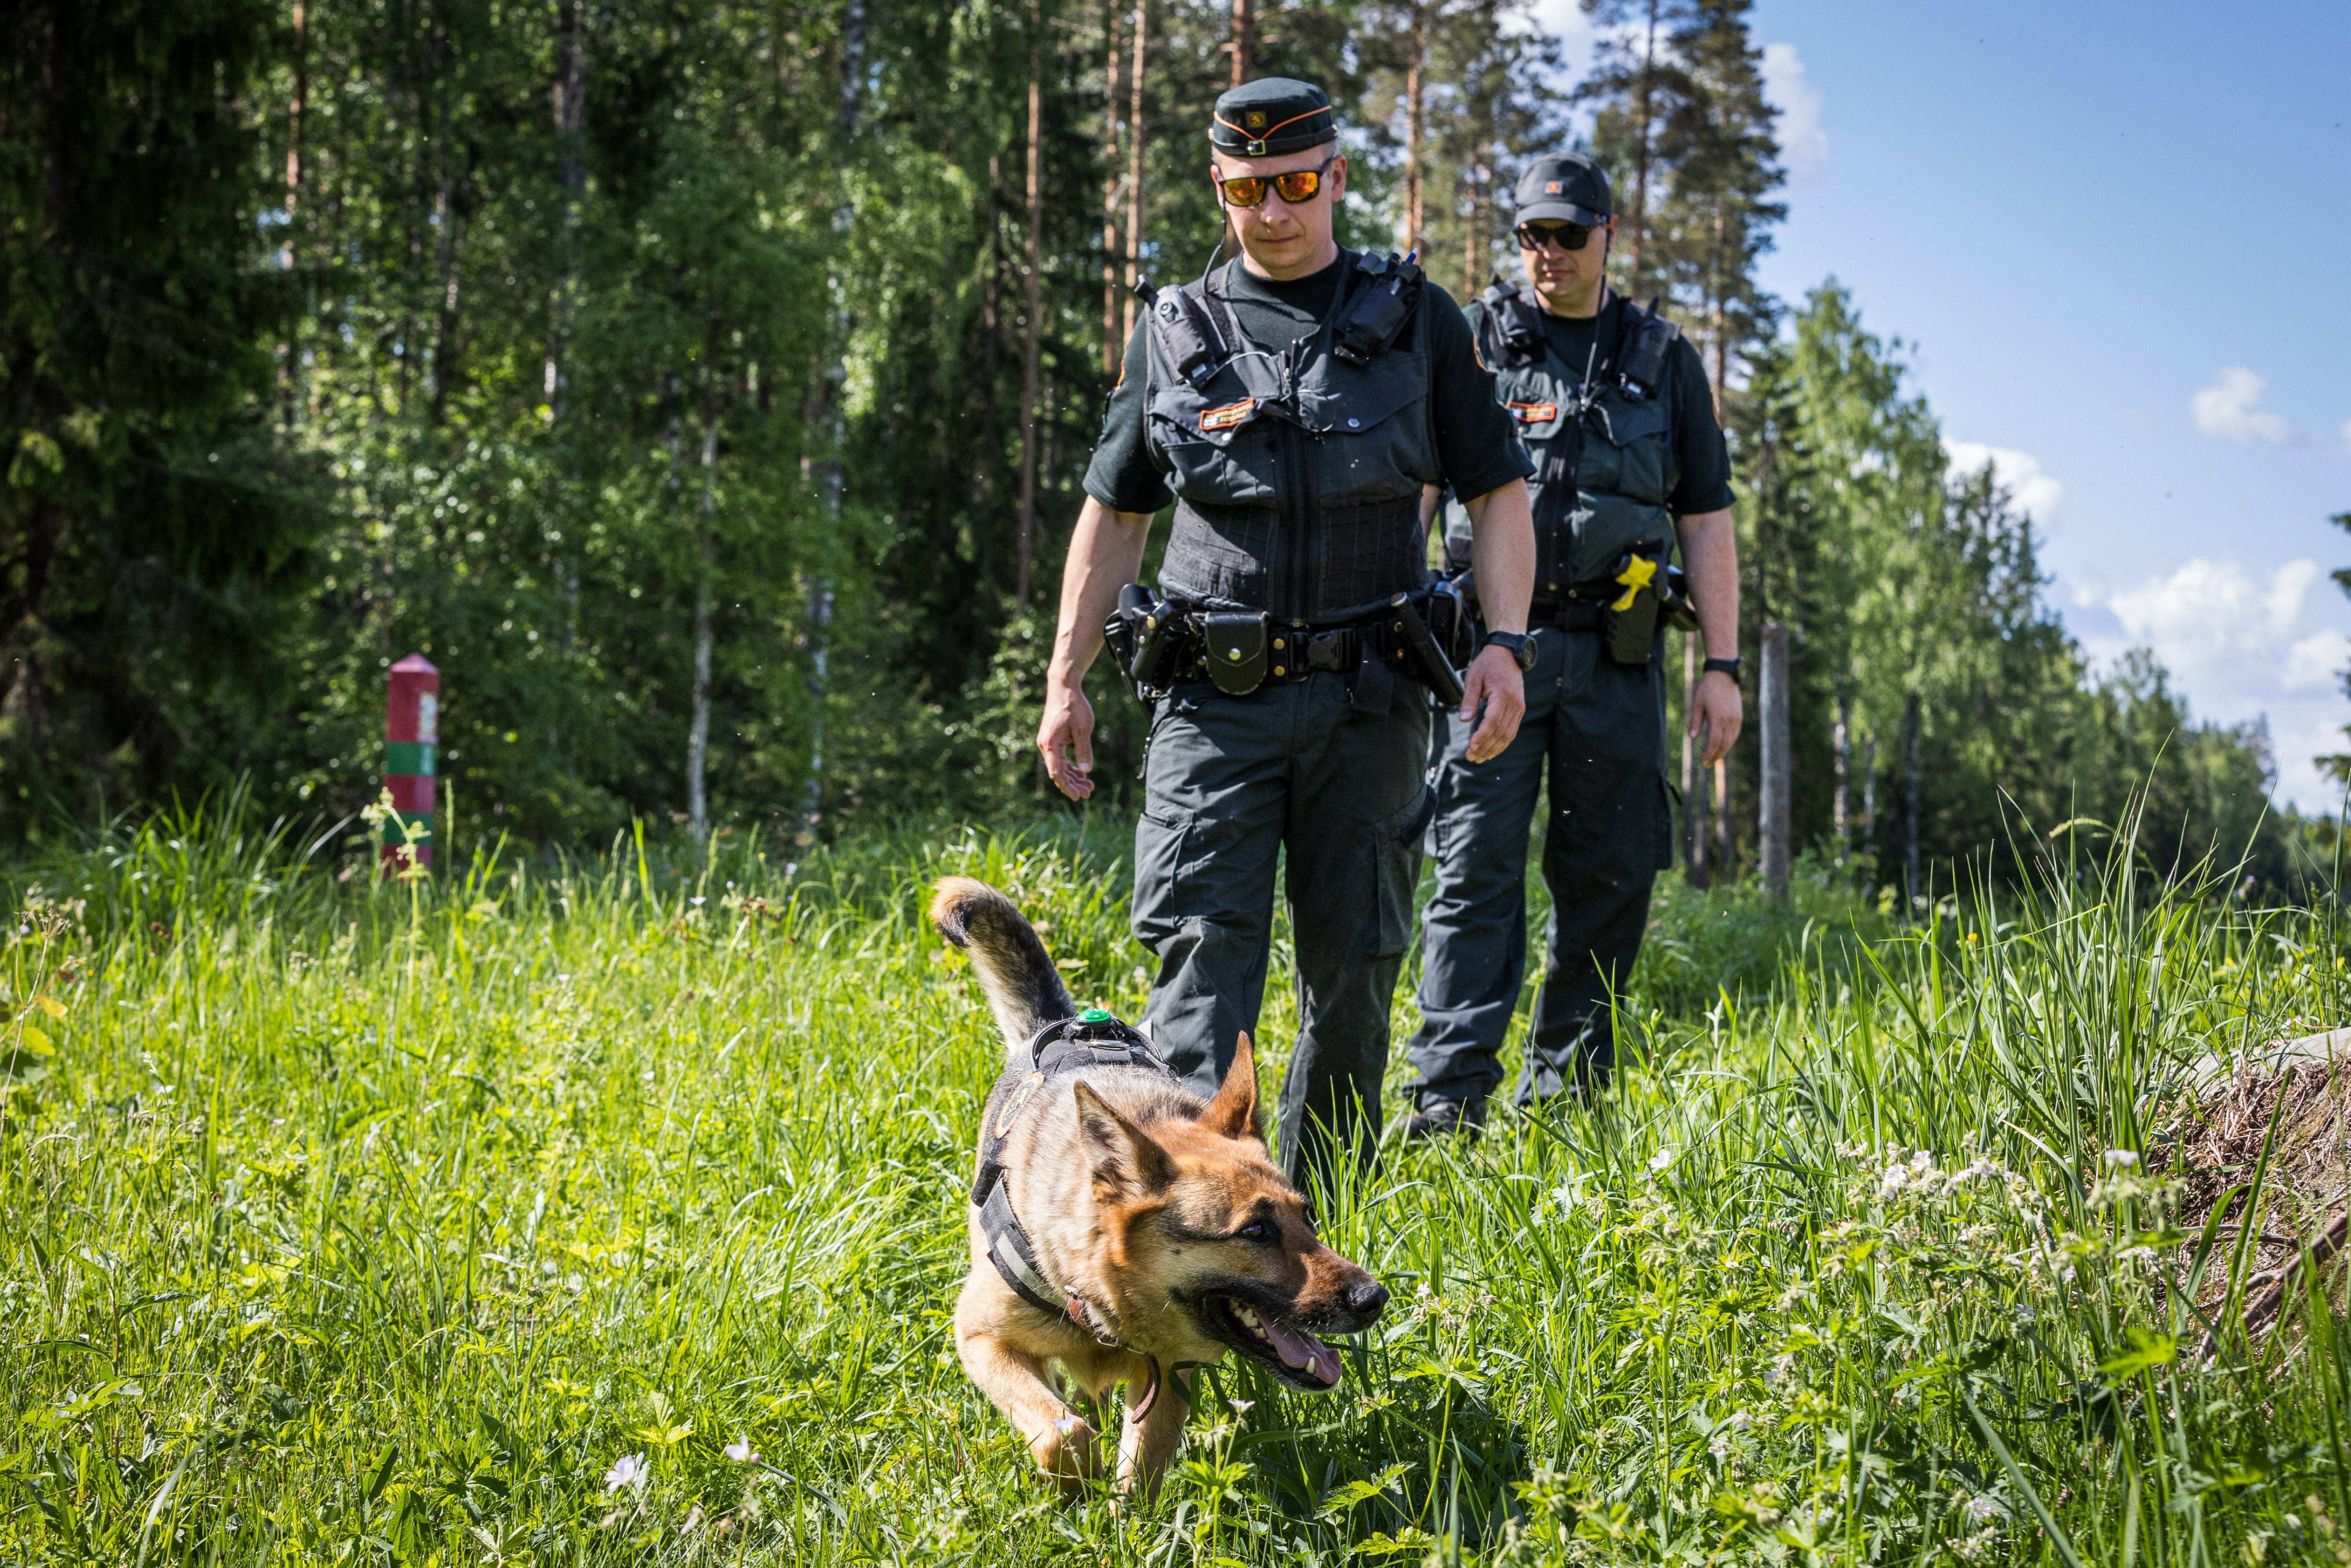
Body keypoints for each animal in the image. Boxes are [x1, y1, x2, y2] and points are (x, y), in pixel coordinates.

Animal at [926, 884, 1382, 1495]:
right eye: (1255, 1231)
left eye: (1307, 1217)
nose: (1374, 1299)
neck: (1097, 1294)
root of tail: (1064, 1022)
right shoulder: (980, 1338)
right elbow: (1063, 1435)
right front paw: (1076, 1488)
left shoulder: (1167, 1376)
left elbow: (1139, 1477)